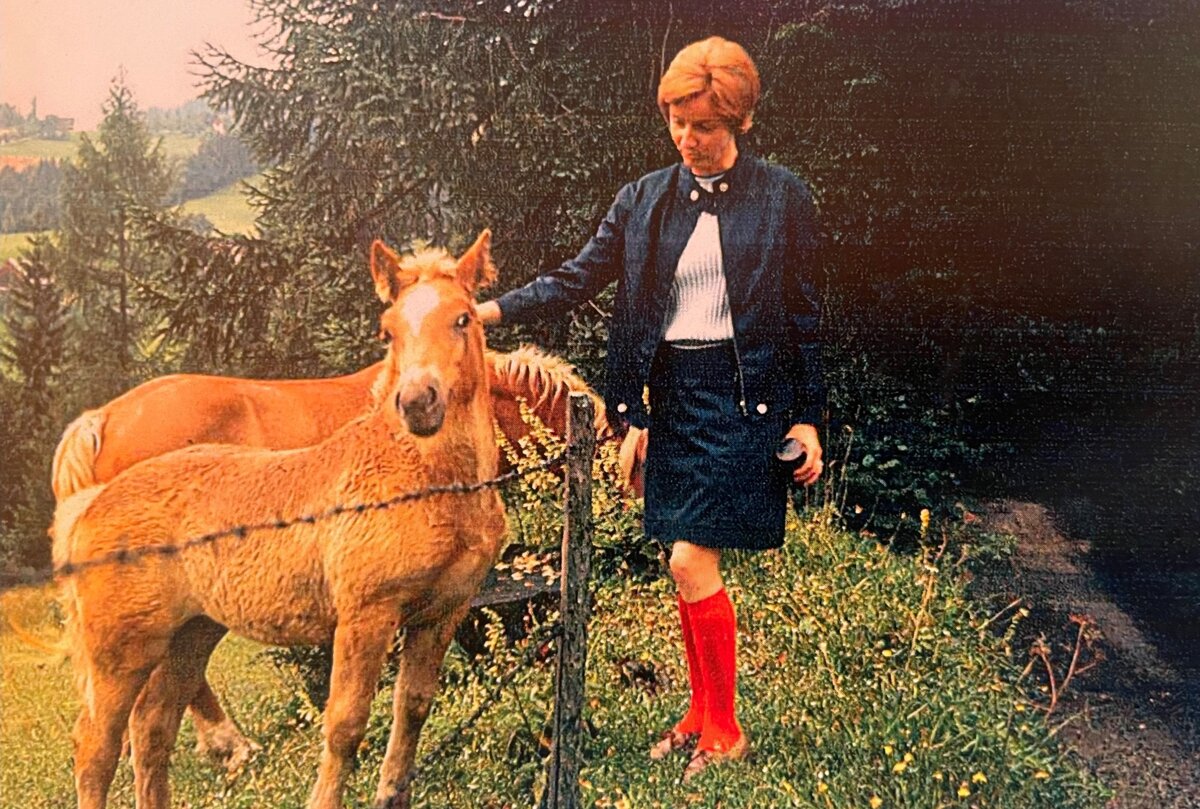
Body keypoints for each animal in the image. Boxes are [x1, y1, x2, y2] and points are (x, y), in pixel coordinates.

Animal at [54, 232, 507, 809]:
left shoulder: (440, 614)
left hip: (190, 636)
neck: (428, 480)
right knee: (96, 747)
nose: (416, 402)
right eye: (388, 330)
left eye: (462, 319)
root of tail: (93, 502)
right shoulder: (365, 616)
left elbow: (412, 712)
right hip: (120, 654)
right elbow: (345, 725)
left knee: (153, 728)